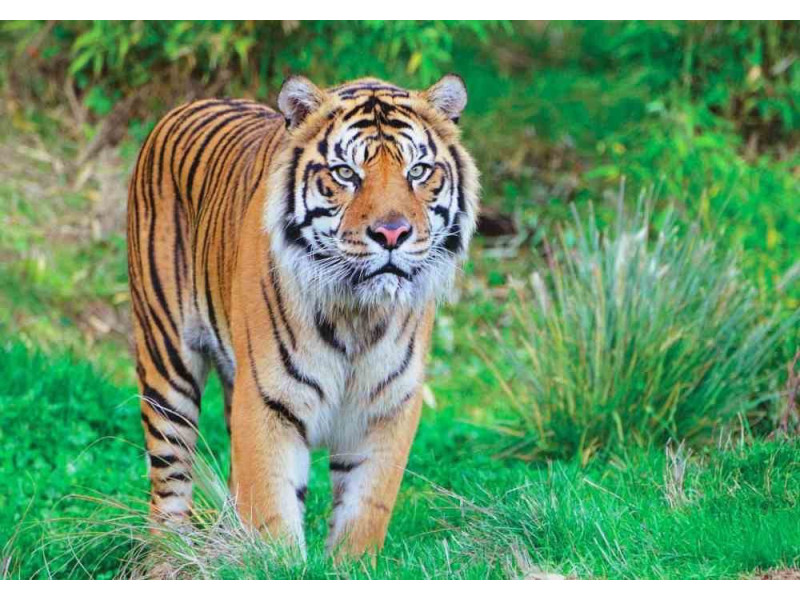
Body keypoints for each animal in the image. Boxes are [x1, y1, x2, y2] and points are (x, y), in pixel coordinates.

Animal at [127, 74, 480, 559]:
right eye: (346, 173)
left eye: (418, 172)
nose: (392, 234)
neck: (358, 314)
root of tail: (188, 106)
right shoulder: (269, 401)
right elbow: (273, 514)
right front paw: (278, 563)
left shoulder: (386, 408)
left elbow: (364, 513)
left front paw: (349, 564)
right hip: (167, 362)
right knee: (169, 488)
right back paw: (169, 558)